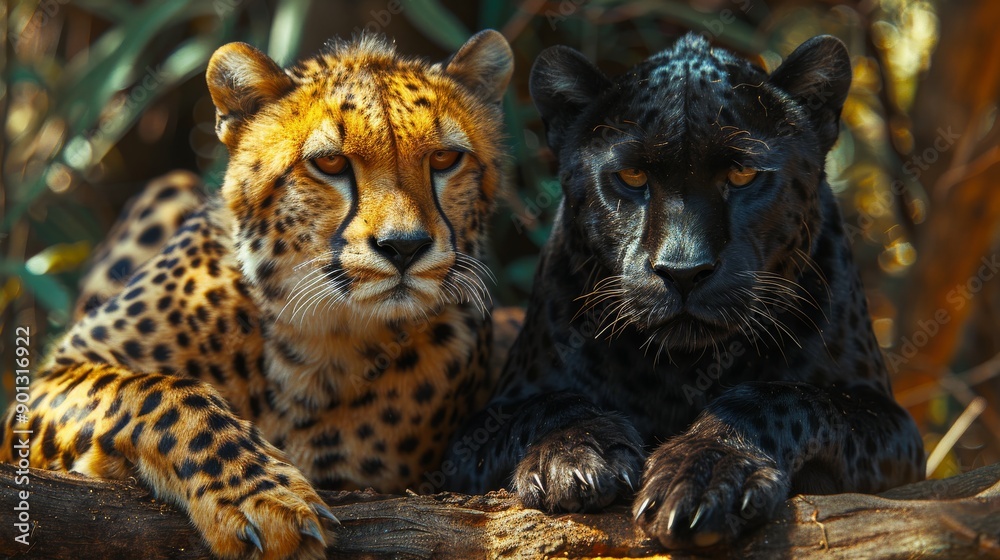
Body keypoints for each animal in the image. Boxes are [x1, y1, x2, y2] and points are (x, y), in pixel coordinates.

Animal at [1, 30, 514, 559]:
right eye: (330, 162)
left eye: (445, 159)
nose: (405, 247)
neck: (322, 333)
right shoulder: (48, 382)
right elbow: (158, 391)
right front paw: (263, 498)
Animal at [445, 33, 925, 551]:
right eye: (632, 178)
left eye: (743, 175)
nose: (684, 272)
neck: (684, 368)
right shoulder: (476, 433)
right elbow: (548, 405)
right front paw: (573, 458)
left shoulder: (887, 417)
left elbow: (783, 397)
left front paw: (705, 472)